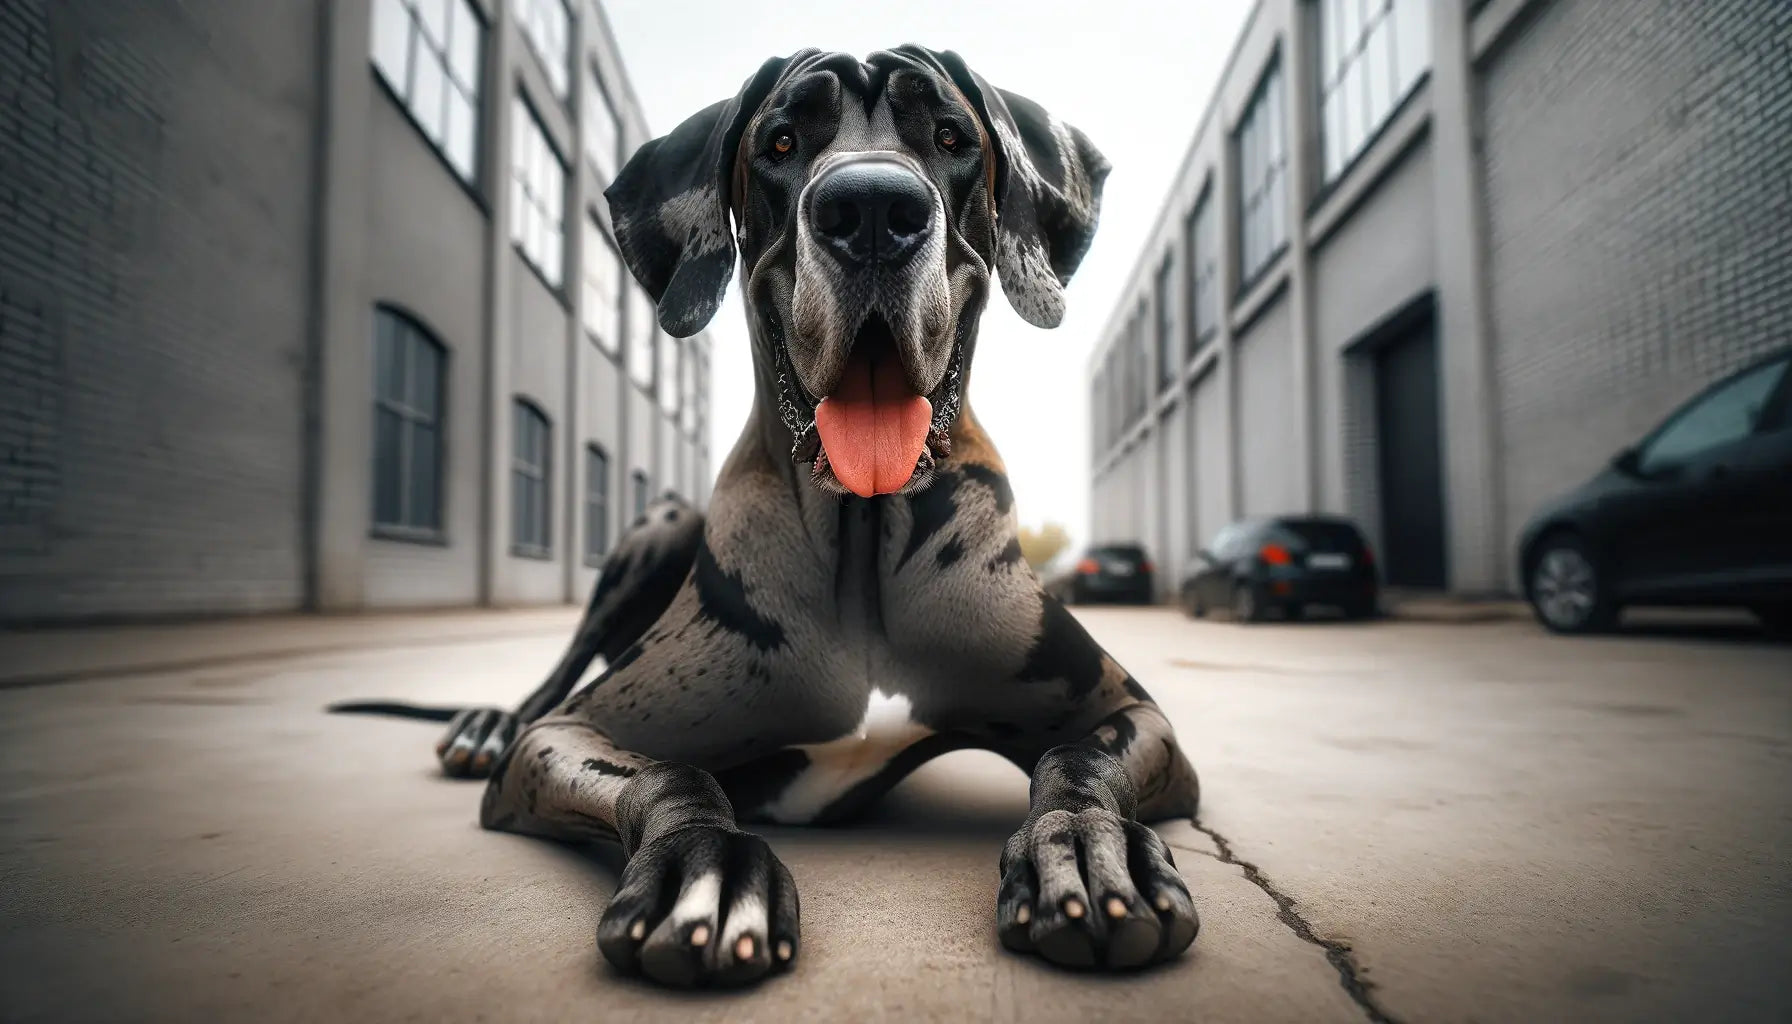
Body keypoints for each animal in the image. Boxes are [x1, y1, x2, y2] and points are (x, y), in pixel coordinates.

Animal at [338, 44, 1204, 989]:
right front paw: (707, 867)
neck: (861, 544)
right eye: (782, 142)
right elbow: (669, 773)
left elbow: (1075, 759)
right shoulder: (576, 732)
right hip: (655, 534)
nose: (872, 210)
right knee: (549, 683)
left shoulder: (1131, 715)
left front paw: (1084, 847)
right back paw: (487, 725)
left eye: (950, 136)